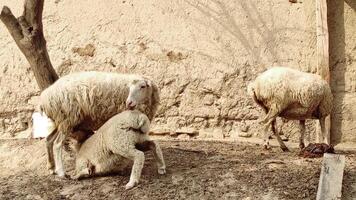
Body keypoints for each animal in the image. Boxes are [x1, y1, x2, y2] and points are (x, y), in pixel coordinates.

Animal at [32, 71, 160, 177]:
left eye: (142, 86)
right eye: (130, 88)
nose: (129, 103)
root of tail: (44, 98)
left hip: (61, 121)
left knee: (48, 140)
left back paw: (51, 167)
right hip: (67, 118)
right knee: (57, 144)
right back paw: (61, 172)